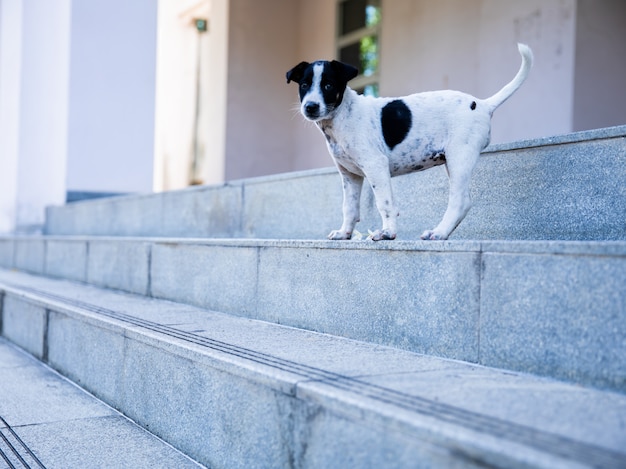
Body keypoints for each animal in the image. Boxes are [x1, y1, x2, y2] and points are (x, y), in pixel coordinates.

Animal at [286, 43, 528, 241]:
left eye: (328, 85)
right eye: (304, 85)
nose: (310, 107)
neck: (341, 117)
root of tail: (483, 104)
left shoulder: (375, 165)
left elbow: (385, 203)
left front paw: (387, 233)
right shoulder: (349, 174)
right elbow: (350, 208)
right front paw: (344, 233)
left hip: (459, 158)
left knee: (460, 201)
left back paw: (439, 233)